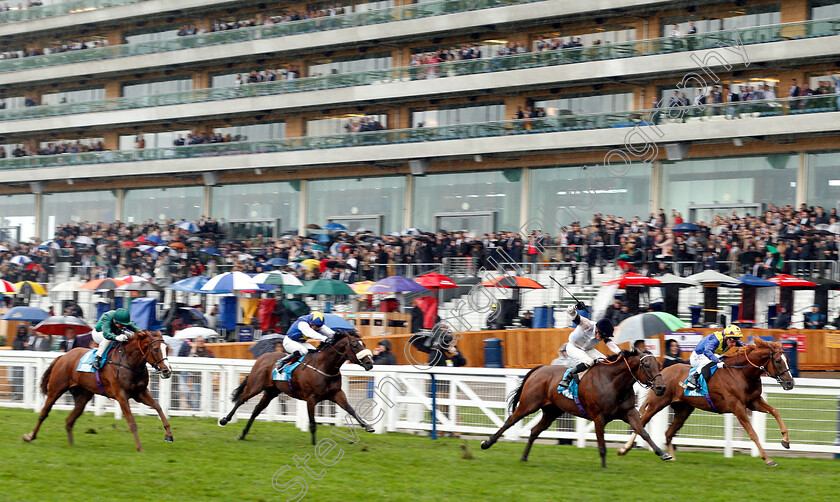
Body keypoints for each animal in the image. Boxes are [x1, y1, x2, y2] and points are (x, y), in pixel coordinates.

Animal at [22, 330, 172, 452]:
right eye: (156, 349)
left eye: (167, 348)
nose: (167, 370)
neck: (130, 362)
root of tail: (63, 356)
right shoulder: (121, 395)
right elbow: (131, 420)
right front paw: (139, 447)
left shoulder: (140, 393)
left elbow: (158, 407)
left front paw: (169, 435)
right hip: (56, 389)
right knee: (44, 413)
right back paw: (29, 437)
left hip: (83, 396)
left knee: (69, 420)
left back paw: (71, 445)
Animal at [218, 330, 372, 444]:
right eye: (355, 346)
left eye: (363, 344)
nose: (369, 363)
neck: (323, 367)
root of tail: (261, 358)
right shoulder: (311, 398)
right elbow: (312, 423)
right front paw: (314, 444)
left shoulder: (336, 394)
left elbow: (350, 409)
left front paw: (367, 426)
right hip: (255, 386)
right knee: (241, 400)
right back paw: (224, 420)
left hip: (271, 391)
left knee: (256, 410)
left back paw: (243, 434)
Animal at [482, 350, 672, 466]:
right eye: (646, 365)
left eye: (659, 365)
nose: (662, 388)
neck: (613, 382)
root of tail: (539, 369)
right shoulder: (598, 417)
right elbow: (602, 445)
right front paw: (604, 467)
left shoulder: (629, 412)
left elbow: (643, 432)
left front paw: (663, 453)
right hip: (529, 404)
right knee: (510, 421)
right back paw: (487, 443)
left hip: (551, 411)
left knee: (534, 431)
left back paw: (524, 457)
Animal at [616, 338, 796, 466]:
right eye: (778, 361)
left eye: (788, 358)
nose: (790, 383)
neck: (742, 373)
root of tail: (661, 372)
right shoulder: (737, 407)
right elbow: (753, 433)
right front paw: (768, 459)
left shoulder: (754, 402)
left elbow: (775, 411)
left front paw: (785, 441)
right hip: (657, 403)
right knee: (642, 421)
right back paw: (624, 449)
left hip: (684, 409)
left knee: (668, 432)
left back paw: (671, 457)